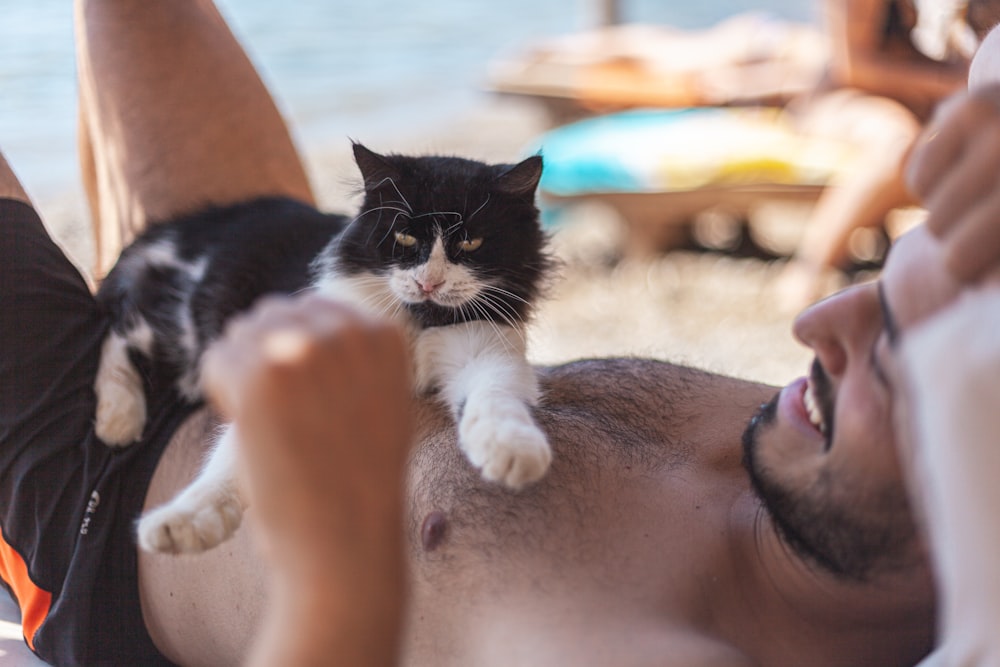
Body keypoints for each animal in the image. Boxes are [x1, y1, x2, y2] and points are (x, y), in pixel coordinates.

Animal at [95, 144, 556, 556]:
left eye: (471, 244)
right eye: (405, 237)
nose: (429, 283)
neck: (418, 319)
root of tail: (182, 227)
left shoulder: (487, 351)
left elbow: (495, 400)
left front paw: (513, 453)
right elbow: (227, 461)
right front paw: (182, 523)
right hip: (180, 324)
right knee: (118, 327)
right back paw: (118, 420)